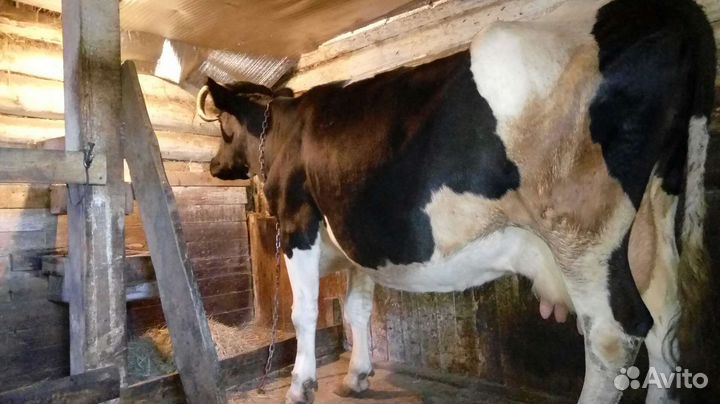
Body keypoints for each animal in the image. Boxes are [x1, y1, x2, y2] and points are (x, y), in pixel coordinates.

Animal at [196, 0, 717, 402]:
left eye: (223, 127)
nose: (214, 166)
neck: (283, 129)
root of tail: (676, 10)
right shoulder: (356, 239)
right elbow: (356, 309)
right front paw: (357, 376)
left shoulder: (297, 222)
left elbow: (303, 312)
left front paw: (300, 385)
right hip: (653, 218)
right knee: (664, 322)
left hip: (581, 229)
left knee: (613, 334)